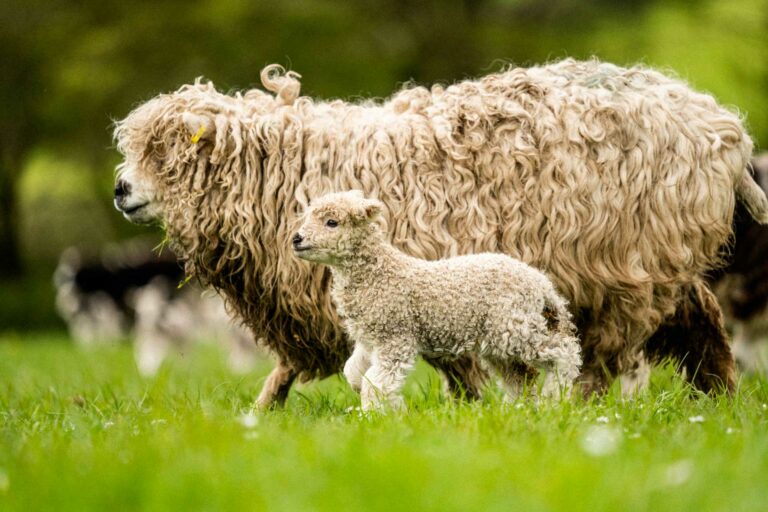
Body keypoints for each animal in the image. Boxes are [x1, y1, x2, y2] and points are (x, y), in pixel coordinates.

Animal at [294, 190, 584, 410]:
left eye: (332, 222)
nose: (296, 238)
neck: (380, 273)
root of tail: (541, 283)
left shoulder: (395, 337)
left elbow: (375, 383)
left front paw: (374, 416)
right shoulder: (371, 339)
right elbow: (354, 372)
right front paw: (391, 406)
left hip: (513, 326)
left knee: (564, 351)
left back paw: (555, 394)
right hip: (498, 340)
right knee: (521, 376)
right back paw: (521, 410)